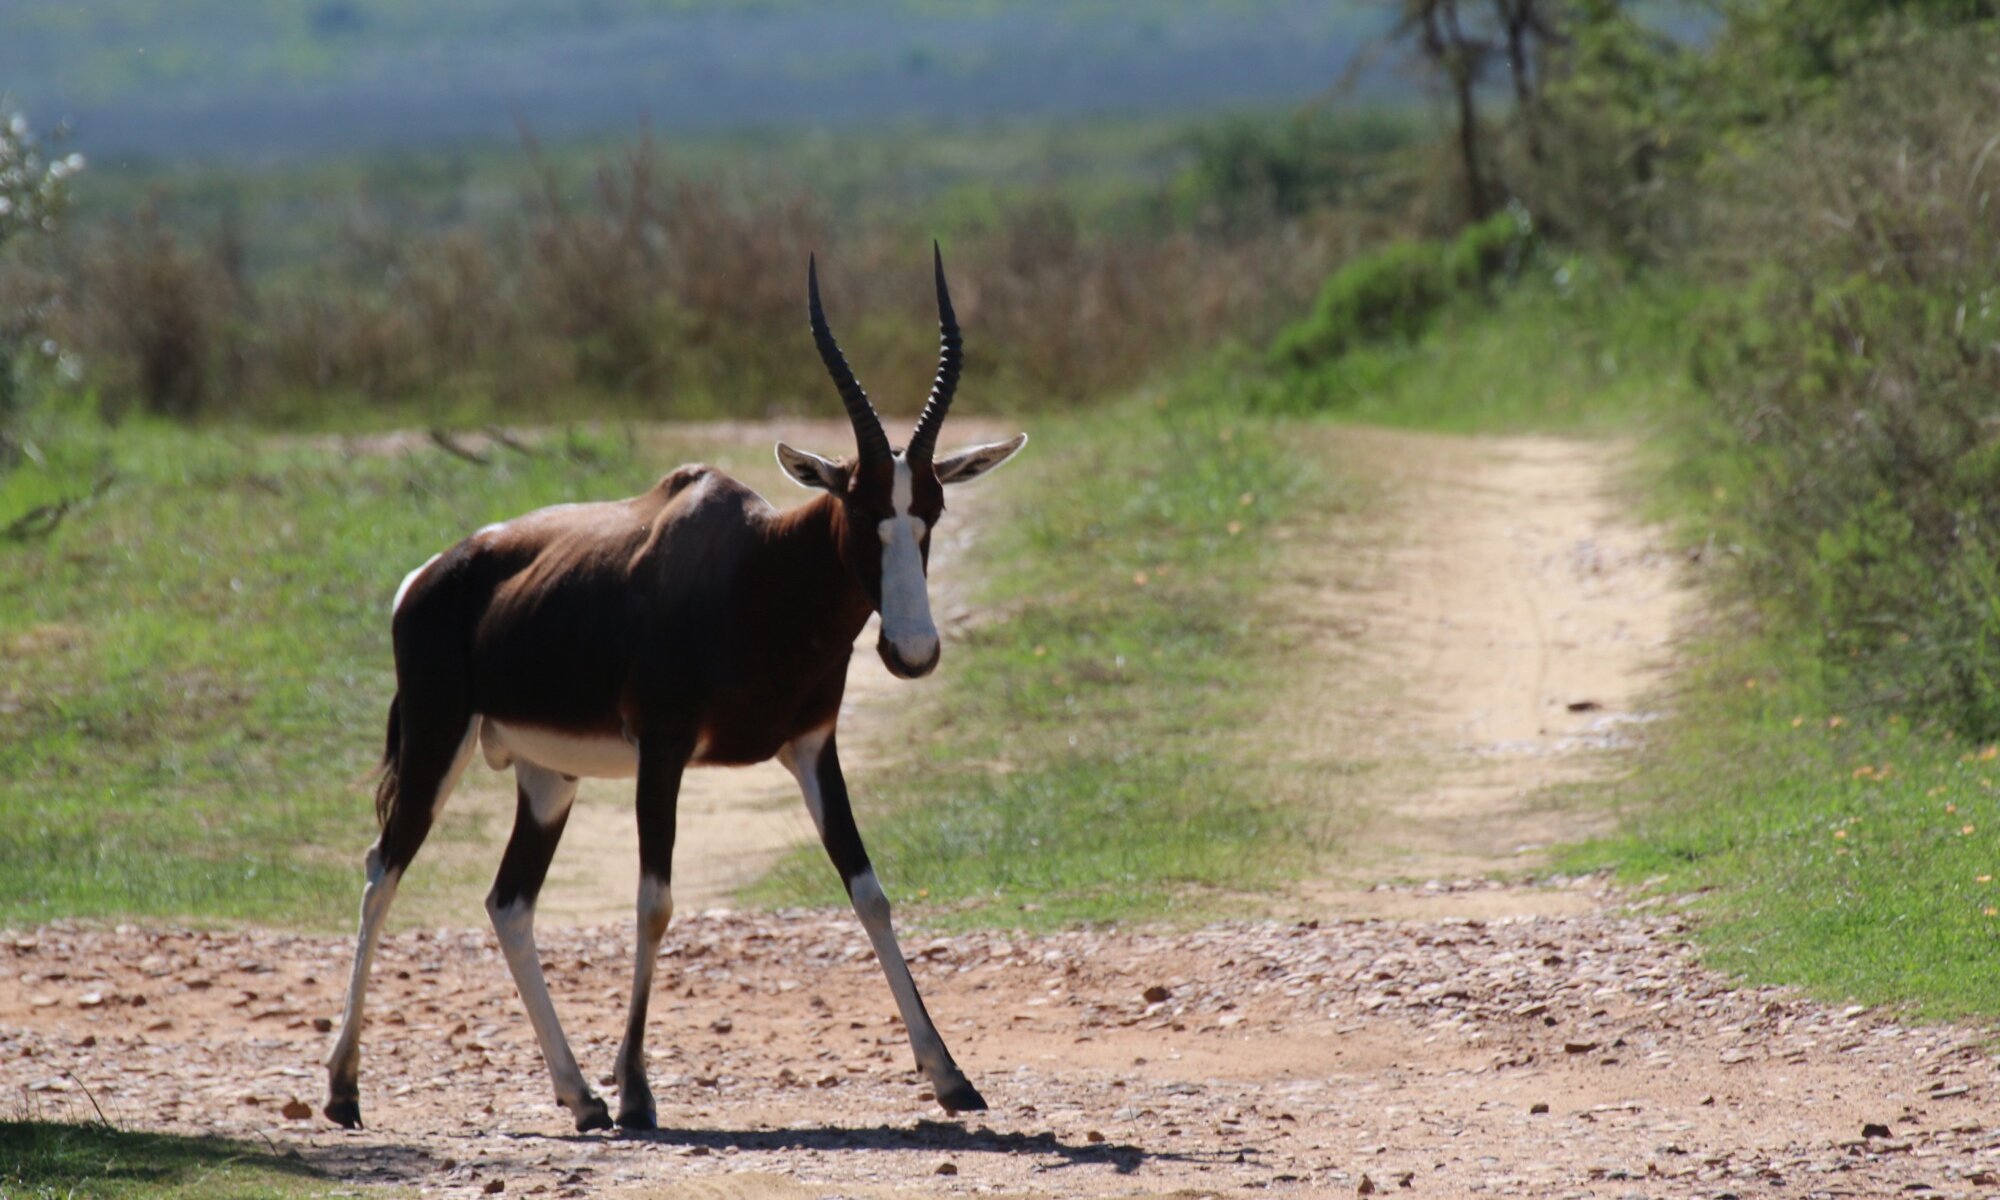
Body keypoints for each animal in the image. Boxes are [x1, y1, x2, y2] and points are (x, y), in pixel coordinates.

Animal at [324, 248, 1032, 1128]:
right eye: (859, 506)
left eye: (929, 510)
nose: (912, 651)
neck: (757, 568)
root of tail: (430, 575)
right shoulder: (662, 750)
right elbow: (654, 900)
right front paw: (637, 1091)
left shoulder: (812, 747)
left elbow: (868, 889)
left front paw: (952, 1077)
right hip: (436, 741)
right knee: (381, 870)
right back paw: (345, 1091)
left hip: (546, 778)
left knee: (508, 901)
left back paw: (578, 1096)